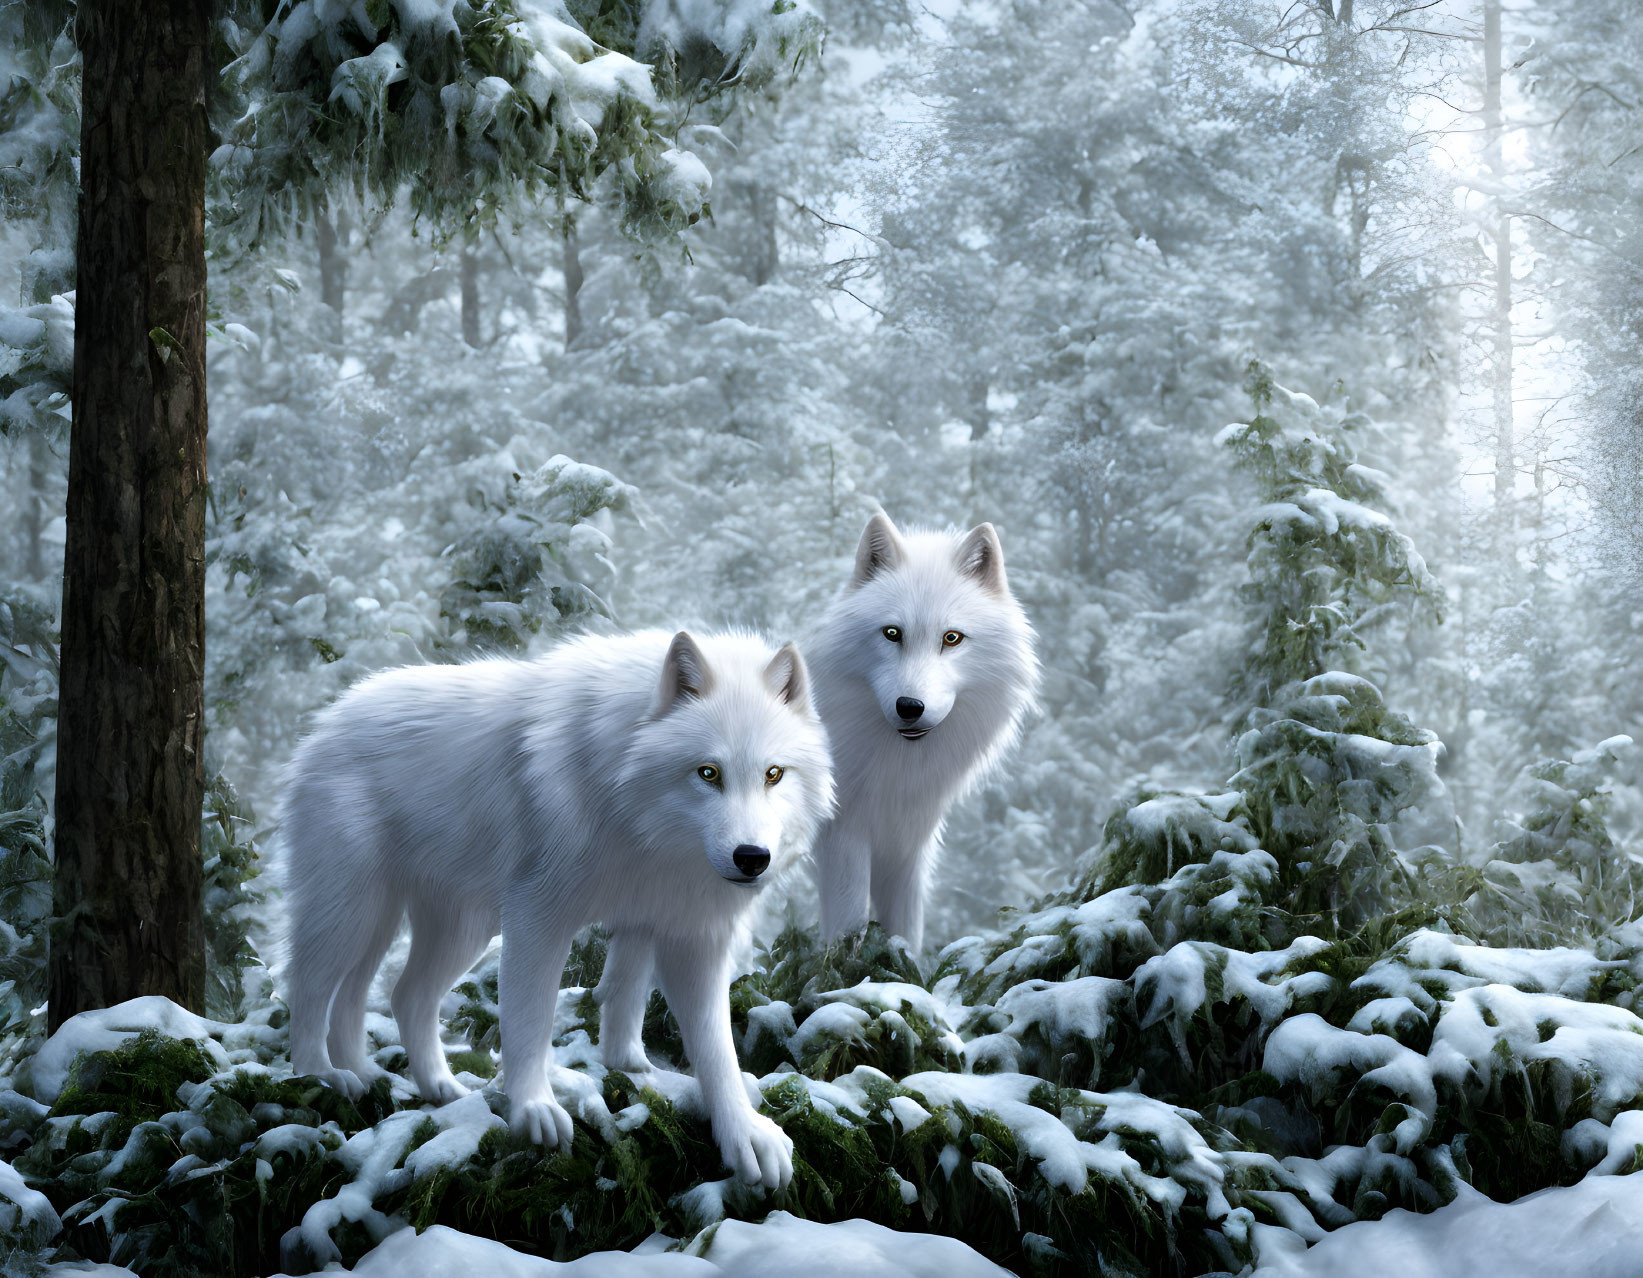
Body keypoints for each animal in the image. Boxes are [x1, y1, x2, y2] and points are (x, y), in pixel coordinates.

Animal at [280, 627, 834, 1182]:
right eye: (708, 773)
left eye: (773, 774)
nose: (752, 858)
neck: (632, 809)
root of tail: (329, 718)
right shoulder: (537, 916)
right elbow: (530, 1021)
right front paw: (534, 1109)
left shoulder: (681, 930)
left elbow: (697, 1039)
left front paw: (733, 1129)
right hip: (353, 915)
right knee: (308, 987)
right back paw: (324, 1078)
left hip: (452, 929)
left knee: (398, 995)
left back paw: (424, 1085)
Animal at [808, 512, 1038, 952]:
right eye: (892, 633)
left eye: (952, 638)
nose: (910, 707)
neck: (897, 772)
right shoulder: (844, 837)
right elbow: (848, 926)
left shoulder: (908, 843)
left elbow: (906, 930)